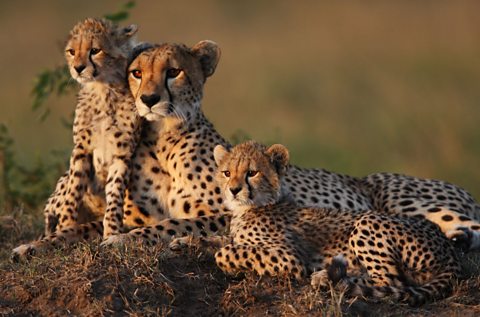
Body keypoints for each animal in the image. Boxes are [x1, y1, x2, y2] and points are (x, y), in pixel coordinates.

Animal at [11, 17, 141, 256]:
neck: (102, 90)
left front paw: (112, 232)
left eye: (95, 50)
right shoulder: (81, 149)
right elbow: (73, 192)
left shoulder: (122, 154)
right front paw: (66, 226)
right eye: (72, 51)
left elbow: (115, 195)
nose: (78, 68)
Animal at [212, 140, 460, 304]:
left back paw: (333, 281)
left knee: (391, 281)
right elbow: (220, 242)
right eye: (226, 173)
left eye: (252, 173)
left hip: (367, 221)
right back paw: (327, 276)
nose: (234, 190)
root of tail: (447, 247)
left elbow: (225, 253)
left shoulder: (290, 258)